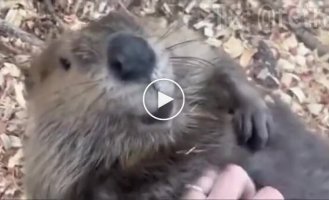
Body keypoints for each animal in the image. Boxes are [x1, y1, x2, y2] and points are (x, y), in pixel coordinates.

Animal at [21, 11, 328, 200]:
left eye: (128, 18)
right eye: (65, 62)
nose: (132, 54)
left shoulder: (184, 44)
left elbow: (214, 59)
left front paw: (255, 119)